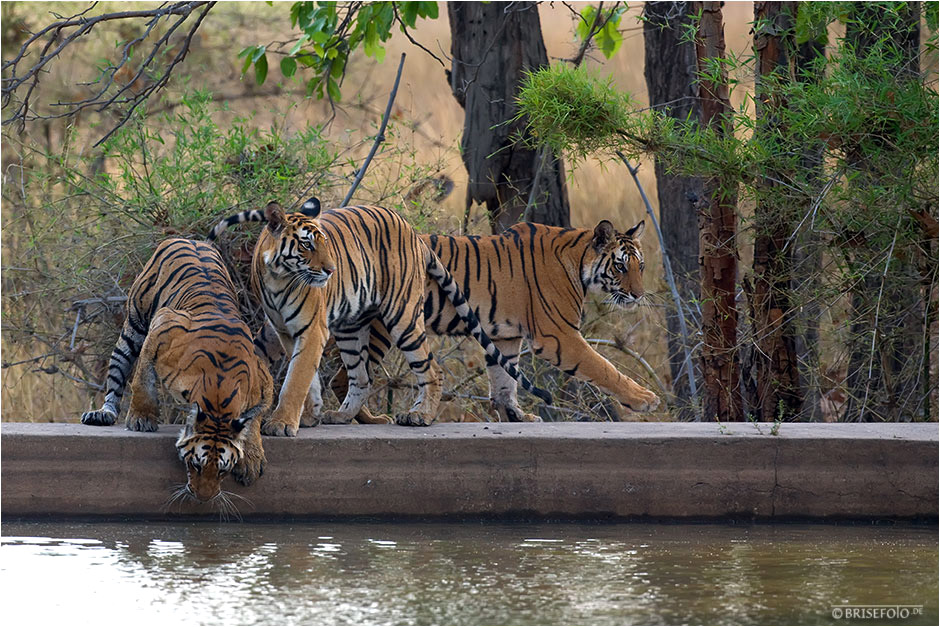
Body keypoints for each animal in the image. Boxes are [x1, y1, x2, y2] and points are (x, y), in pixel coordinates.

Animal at [81, 240, 274, 506]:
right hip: (134, 326)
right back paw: (104, 413)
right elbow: (142, 379)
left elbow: (254, 418)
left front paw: (251, 459)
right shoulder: (163, 325)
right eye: (196, 464)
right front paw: (141, 418)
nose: (204, 498)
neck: (219, 395)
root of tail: (190, 240)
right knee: (118, 373)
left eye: (222, 470)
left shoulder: (262, 381)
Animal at [207, 199, 552, 434]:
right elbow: (307, 378)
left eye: (325, 244)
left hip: (402, 317)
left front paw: (281, 423)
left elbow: (296, 379)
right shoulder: (286, 332)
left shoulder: (311, 330)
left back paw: (421, 416)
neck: (279, 278)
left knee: (432, 369)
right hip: (351, 328)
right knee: (360, 377)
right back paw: (342, 416)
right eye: (306, 246)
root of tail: (413, 231)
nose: (331, 271)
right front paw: (308, 416)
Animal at [330, 220, 660, 422]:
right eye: (620, 266)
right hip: (384, 327)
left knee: (341, 376)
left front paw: (517, 416)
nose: (638, 295)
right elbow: (605, 368)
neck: (578, 261)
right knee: (345, 377)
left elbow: (505, 382)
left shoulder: (505, 336)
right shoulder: (558, 336)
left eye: (641, 266)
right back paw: (369, 419)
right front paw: (644, 399)